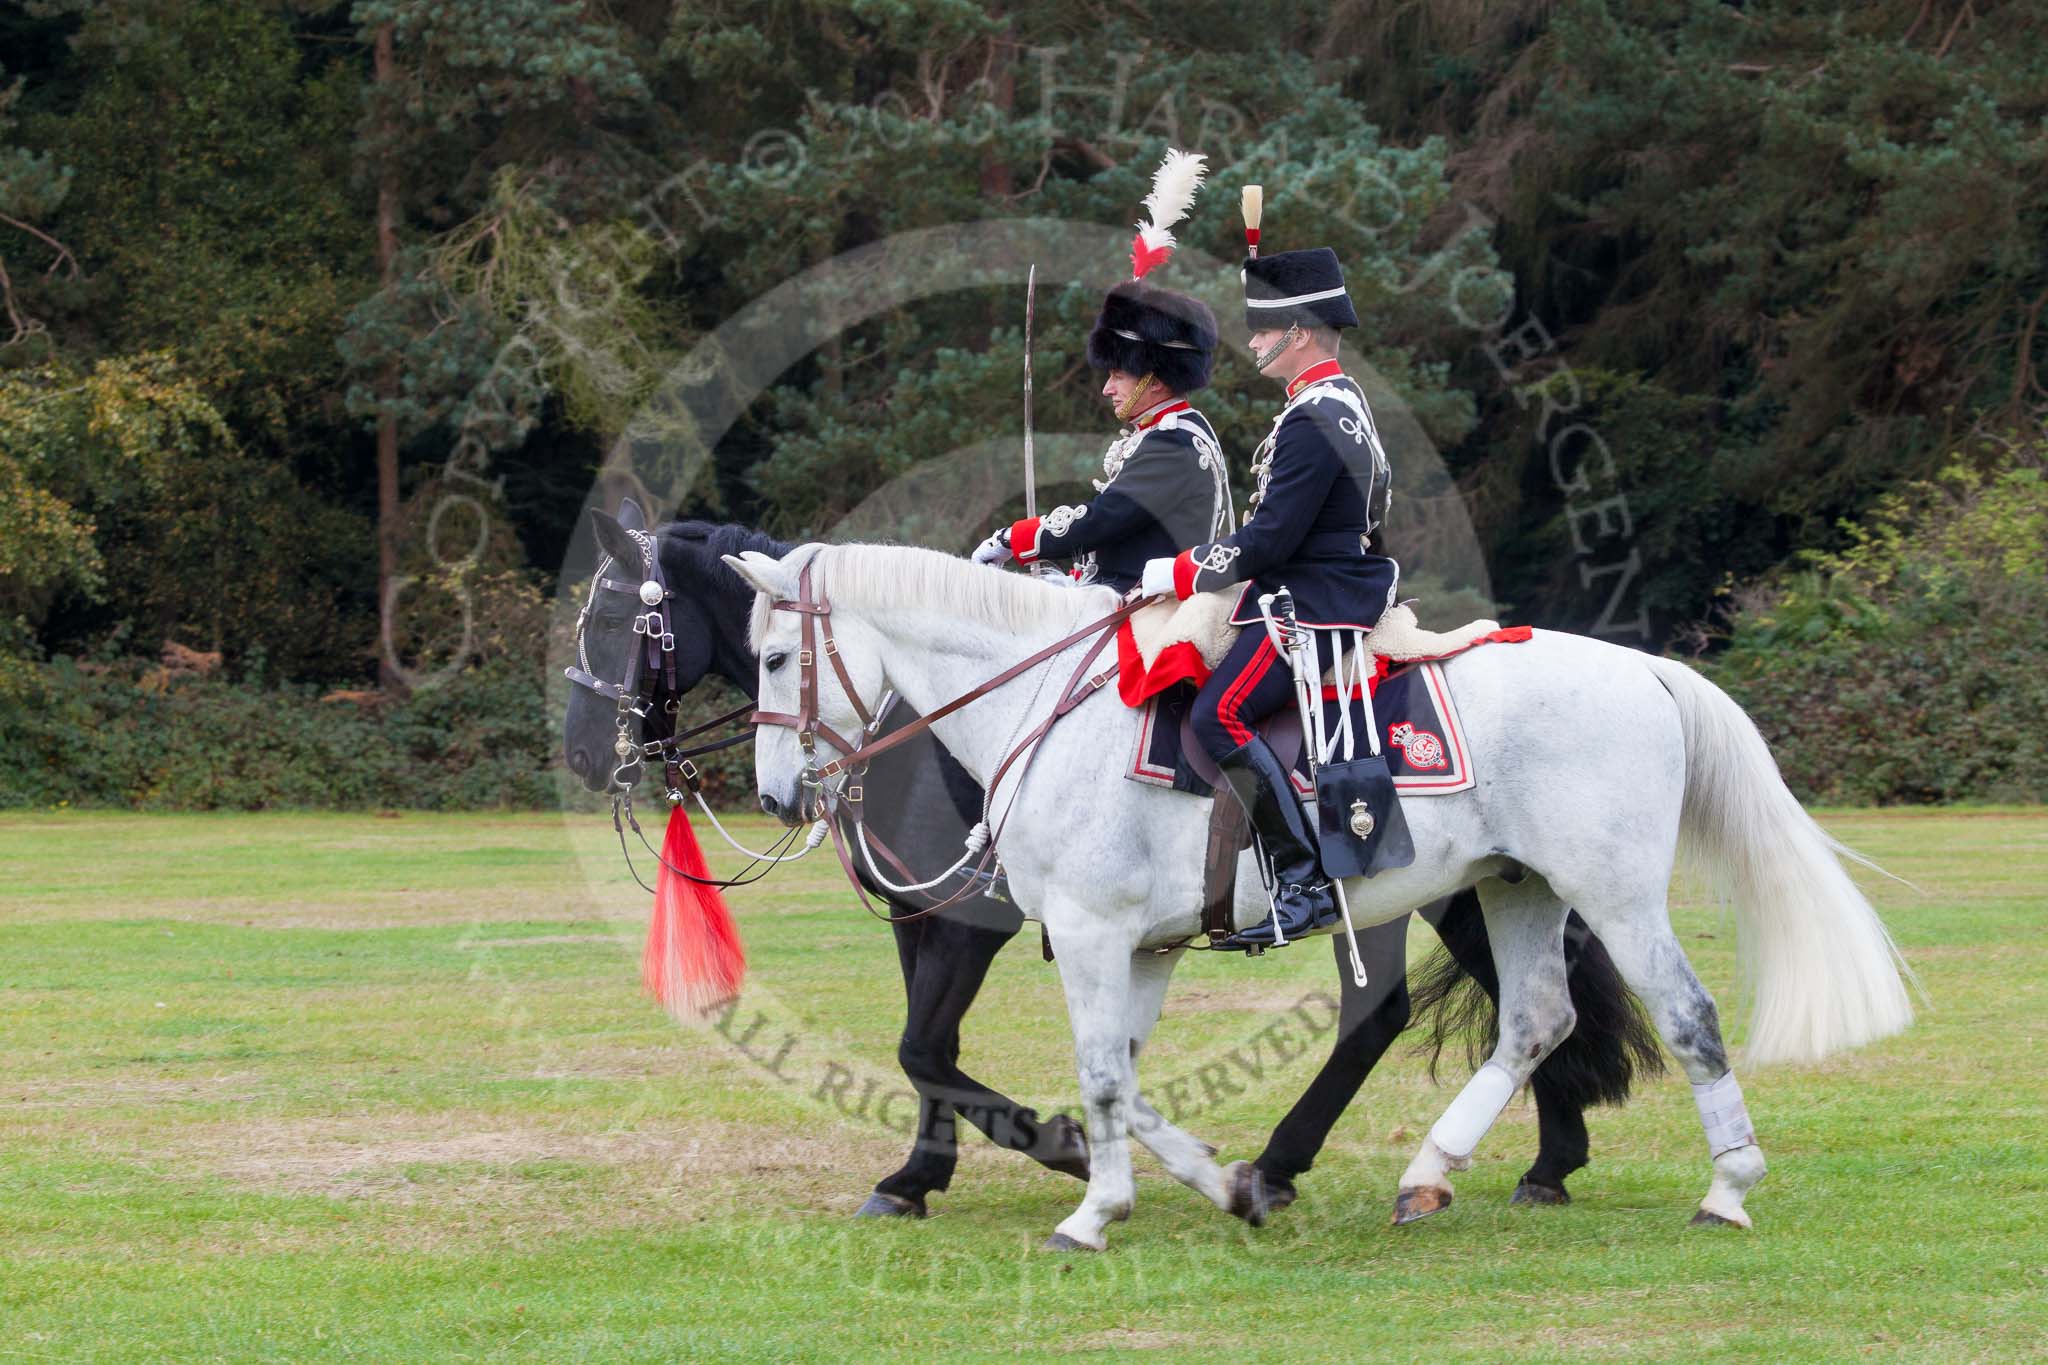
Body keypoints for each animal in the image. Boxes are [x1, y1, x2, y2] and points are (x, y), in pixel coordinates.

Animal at [565, 517, 1662, 1219]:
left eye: (620, 621)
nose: (585, 754)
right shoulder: (927, 922)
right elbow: (928, 1051)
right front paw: (923, 1175)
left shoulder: (976, 923)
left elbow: (927, 1048)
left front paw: (1045, 1147)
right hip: (1483, 878)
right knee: (1513, 1000)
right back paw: (1544, 1159)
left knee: (1390, 1014)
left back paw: (1298, 1163)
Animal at [729, 544, 1908, 1252]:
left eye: (777, 656)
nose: (777, 795)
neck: (1047, 706)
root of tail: (1644, 670)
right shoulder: (1141, 944)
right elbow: (1124, 1080)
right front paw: (1218, 1186)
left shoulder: (1089, 931)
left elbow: (1095, 1074)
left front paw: (1091, 1208)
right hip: (1516, 889)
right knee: (1535, 1019)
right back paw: (1429, 1175)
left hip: (1609, 893)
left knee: (1686, 1015)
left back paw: (1726, 1188)